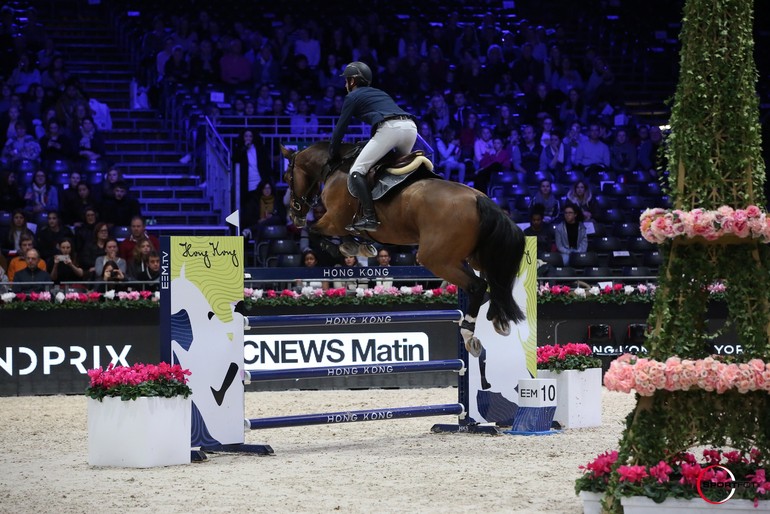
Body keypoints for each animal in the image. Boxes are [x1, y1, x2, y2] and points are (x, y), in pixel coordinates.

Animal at [282, 142, 528, 354]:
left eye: (287, 178)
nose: (294, 215)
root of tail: (479, 198)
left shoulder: (334, 220)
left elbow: (317, 232)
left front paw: (349, 248)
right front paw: (363, 247)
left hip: (436, 259)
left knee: (478, 286)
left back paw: (469, 333)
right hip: (474, 256)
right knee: (494, 281)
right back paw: (498, 318)